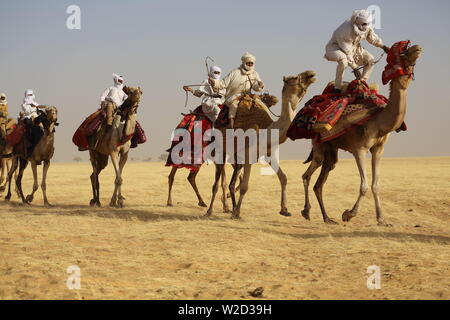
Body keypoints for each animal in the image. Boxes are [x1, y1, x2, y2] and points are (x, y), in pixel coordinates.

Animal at [205, 71, 316, 219]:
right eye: (295, 77)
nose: (311, 73)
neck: (267, 130)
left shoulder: (269, 154)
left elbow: (283, 178)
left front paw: (284, 209)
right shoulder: (249, 155)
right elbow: (245, 186)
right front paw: (237, 213)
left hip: (235, 157)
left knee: (231, 182)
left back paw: (229, 207)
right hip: (220, 151)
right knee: (216, 184)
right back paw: (210, 211)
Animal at [300, 43, 424, 226]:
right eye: (403, 52)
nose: (418, 47)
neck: (379, 121)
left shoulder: (379, 149)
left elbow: (375, 185)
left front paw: (381, 220)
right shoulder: (359, 149)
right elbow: (364, 186)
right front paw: (348, 214)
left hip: (331, 149)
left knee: (321, 180)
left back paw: (327, 218)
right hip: (318, 144)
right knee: (308, 173)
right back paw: (306, 211)